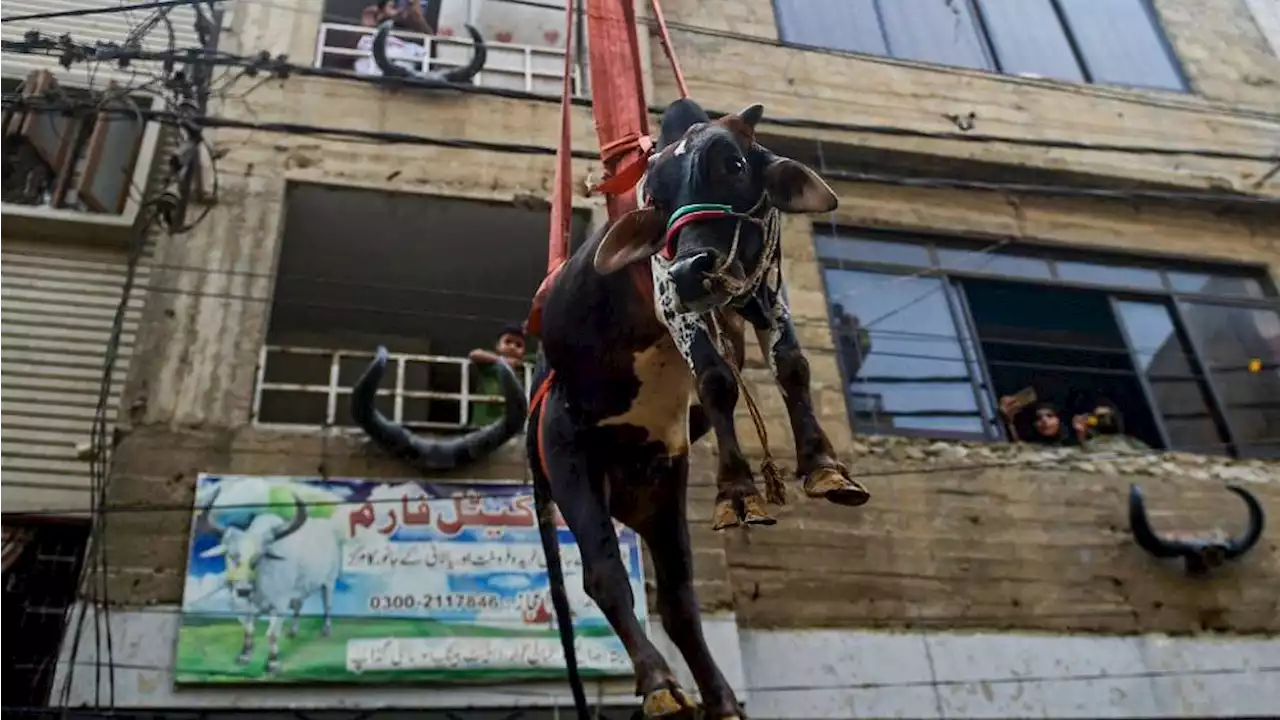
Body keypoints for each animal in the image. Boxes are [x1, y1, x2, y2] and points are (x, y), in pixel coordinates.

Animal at [350, 96, 870, 717]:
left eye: (735, 164)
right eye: (655, 197)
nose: (692, 270)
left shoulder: (765, 291)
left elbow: (792, 364)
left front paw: (824, 468)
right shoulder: (671, 300)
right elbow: (716, 379)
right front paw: (740, 489)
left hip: (661, 489)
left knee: (677, 597)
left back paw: (719, 698)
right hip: (568, 462)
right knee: (604, 576)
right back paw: (660, 684)